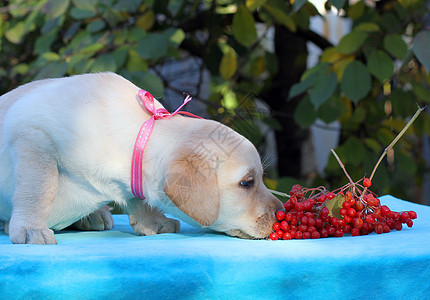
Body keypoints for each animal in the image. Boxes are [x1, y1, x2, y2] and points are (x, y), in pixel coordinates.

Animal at [0, 72, 284, 244]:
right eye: (247, 183)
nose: (281, 212)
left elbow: (140, 198)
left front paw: (154, 222)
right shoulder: (32, 135)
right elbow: (39, 188)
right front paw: (31, 228)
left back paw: (93, 215)